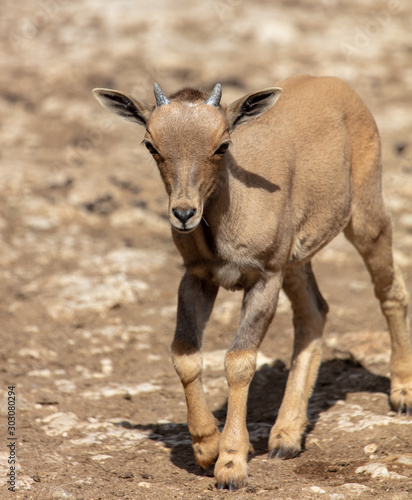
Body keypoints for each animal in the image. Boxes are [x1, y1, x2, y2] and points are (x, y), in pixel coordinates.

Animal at [91, 76, 410, 490]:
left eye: (222, 144)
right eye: (151, 144)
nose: (184, 213)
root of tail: (336, 85)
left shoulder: (264, 279)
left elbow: (239, 361)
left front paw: (231, 464)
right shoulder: (197, 278)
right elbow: (184, 355)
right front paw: (206, 447)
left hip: (366, 218)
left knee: (390, 290)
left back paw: (401, 394)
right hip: (296, 259)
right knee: (314, 312)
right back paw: (286, 436)